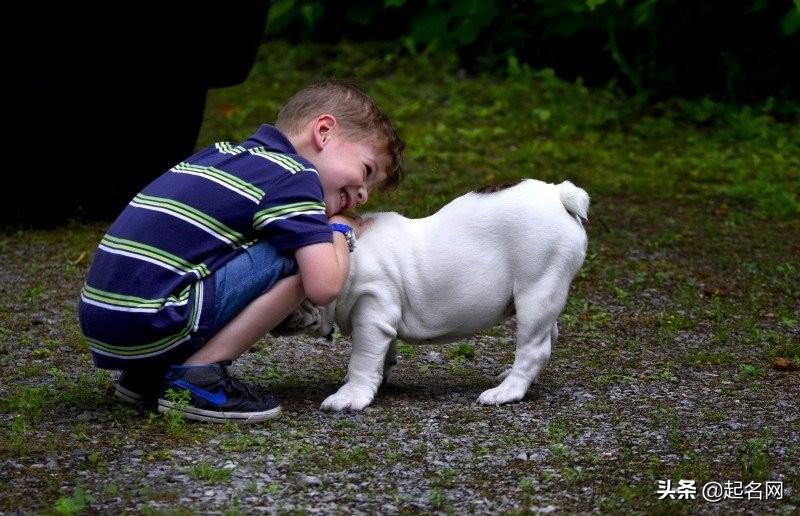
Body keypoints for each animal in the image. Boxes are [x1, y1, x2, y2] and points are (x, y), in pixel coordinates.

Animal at [278, 179, 592, 410]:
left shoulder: (371, 313)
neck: (346, 255)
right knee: (548, 335)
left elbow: (363, 358)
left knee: (533, 347)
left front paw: (350, 395)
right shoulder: (381, 320)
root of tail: (558, 195)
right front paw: (379, 378)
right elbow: (384, 353)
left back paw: (506, 392)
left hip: (536, 288)